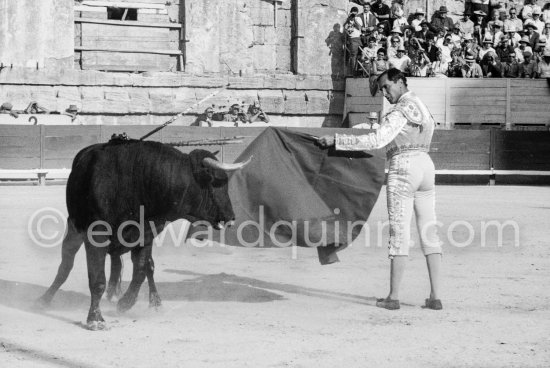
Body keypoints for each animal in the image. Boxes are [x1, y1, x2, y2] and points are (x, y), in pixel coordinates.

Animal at [38, 139, 252, 330]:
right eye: (216, 183)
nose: (231, 217)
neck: (136, 183)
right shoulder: (96, 235)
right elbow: (97, 279)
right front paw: (95, 319)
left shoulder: (146, 234)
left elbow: (141, 270)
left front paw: (125, 303)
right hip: (74, 227)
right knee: (66, 264)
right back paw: (45, 298)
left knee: (144, 267)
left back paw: (153, 302)